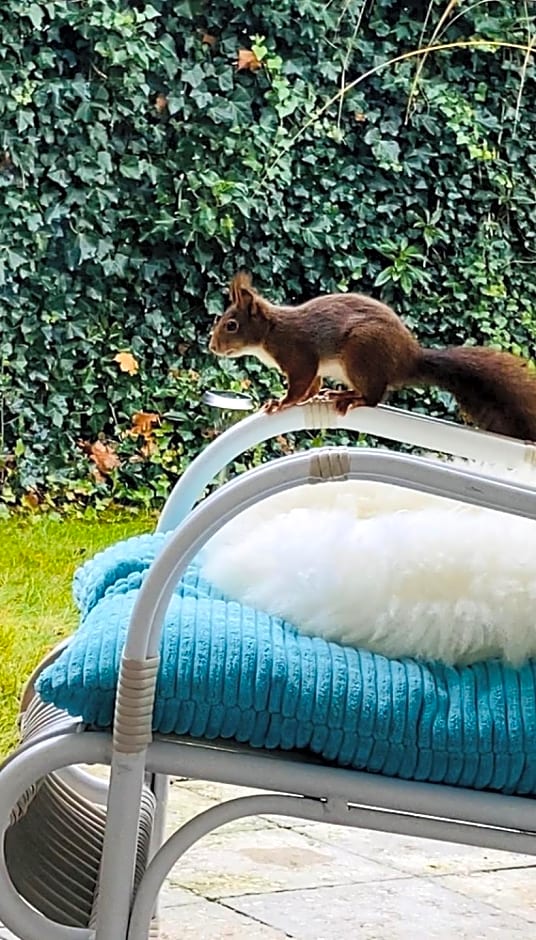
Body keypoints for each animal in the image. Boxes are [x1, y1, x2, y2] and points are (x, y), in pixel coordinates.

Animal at [208, 272, 536, 440]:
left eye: (231, 325)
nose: (212, 347)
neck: (271, 332)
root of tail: (408, 358)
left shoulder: (299, 356)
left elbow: (299, 387)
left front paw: (280, 403)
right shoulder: (310, 367)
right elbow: (311, 387)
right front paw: (307, 398)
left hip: (361, 354)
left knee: (375, 396)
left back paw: (352, 399)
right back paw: (337, 393)